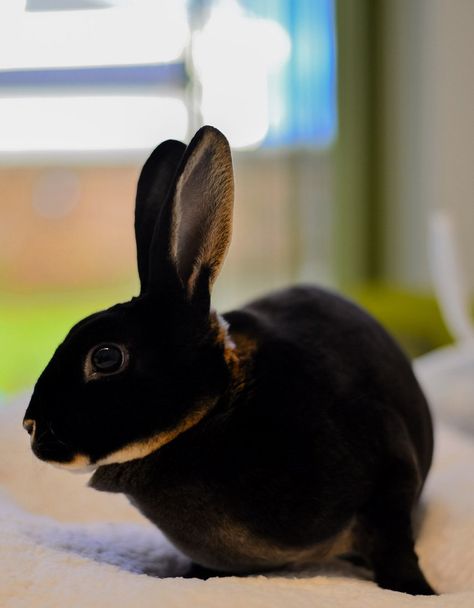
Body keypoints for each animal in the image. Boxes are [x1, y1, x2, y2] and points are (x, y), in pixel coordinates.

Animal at [24, 126, 436, 596]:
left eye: (106, 357)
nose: (30, 425)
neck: (216, 410)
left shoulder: (392, 472)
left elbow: (395, 546)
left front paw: (418, 592)